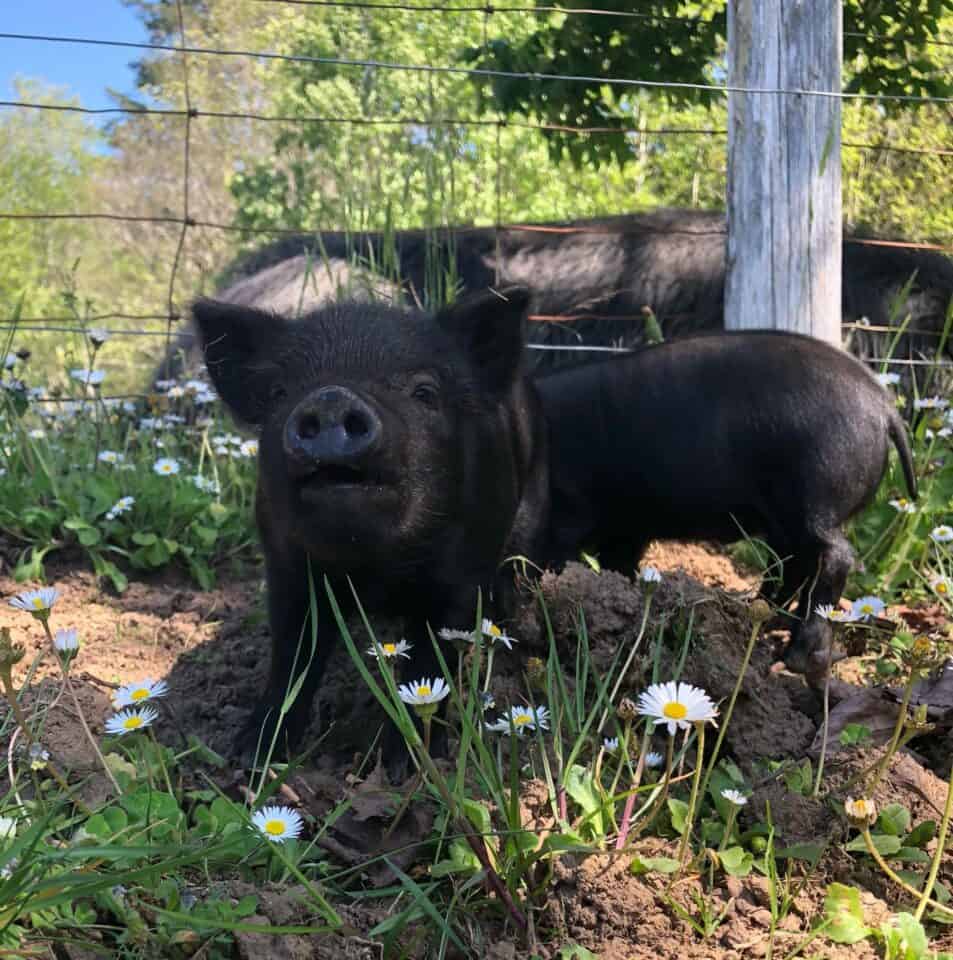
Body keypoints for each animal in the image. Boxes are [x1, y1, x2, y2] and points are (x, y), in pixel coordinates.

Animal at [191, 288, 549, 767]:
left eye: (425, 391)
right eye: (279, 392)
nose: (331, 398)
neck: (374, 569)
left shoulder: (462, 571)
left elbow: (430, 661)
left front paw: (409, 765)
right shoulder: (286, 569)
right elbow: (292, 654)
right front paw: (251, 755)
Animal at [534, 330, 918, 675]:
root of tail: (883, 405)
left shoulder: (570, 510)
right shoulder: (626, 528)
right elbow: (617, 563)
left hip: (815, 494)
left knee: (834, 557)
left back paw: (791, 659)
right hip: (788, 517)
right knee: (792, 563)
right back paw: (759, 617)